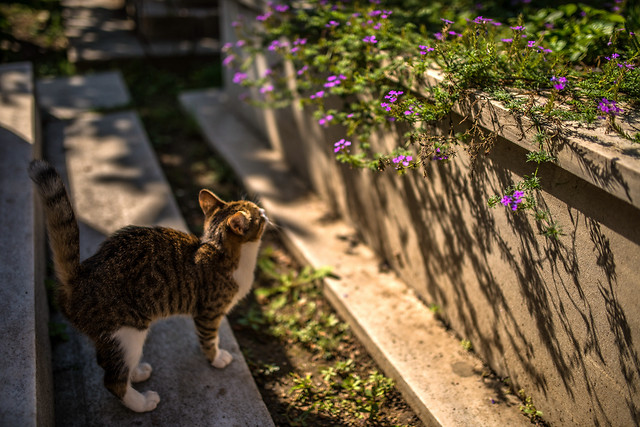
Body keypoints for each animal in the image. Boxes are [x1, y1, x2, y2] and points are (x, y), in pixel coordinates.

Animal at [27, 159, 266, 412]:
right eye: (259, 218)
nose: (263, 211)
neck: (218, 249)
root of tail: (80, 277)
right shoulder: (209, 313)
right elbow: (210, 338)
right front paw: (216, 357)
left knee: (108, 362)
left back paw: (137, 372)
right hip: (127, 332)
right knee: (113, 380)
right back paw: (141, 402)